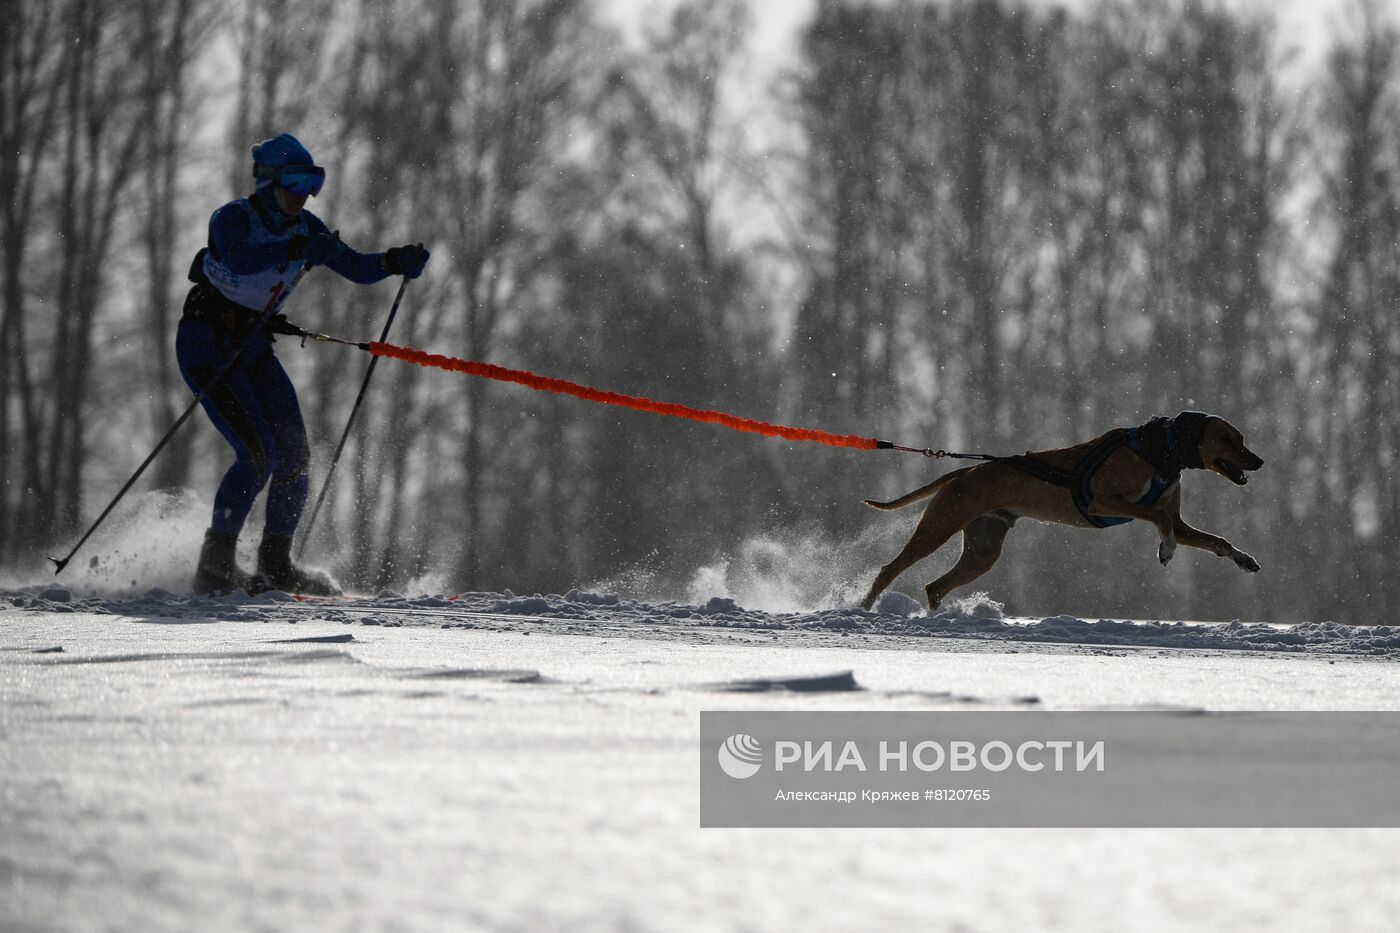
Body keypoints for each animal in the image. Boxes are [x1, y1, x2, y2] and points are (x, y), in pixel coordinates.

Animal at [856, 411, 1265, 607]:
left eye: (1242, 437)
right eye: (1226, 439)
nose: (1258, 460)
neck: (1158, 451)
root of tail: (967, 469)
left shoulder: (1180, 522)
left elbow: (1215, 540)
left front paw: (1243, 558)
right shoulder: (1107, 500)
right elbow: (1159, 517)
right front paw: (1165, 549)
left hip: (982, 551)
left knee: (935, 587)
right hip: (939, 526)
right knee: (889, 570)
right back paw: (864, 607)